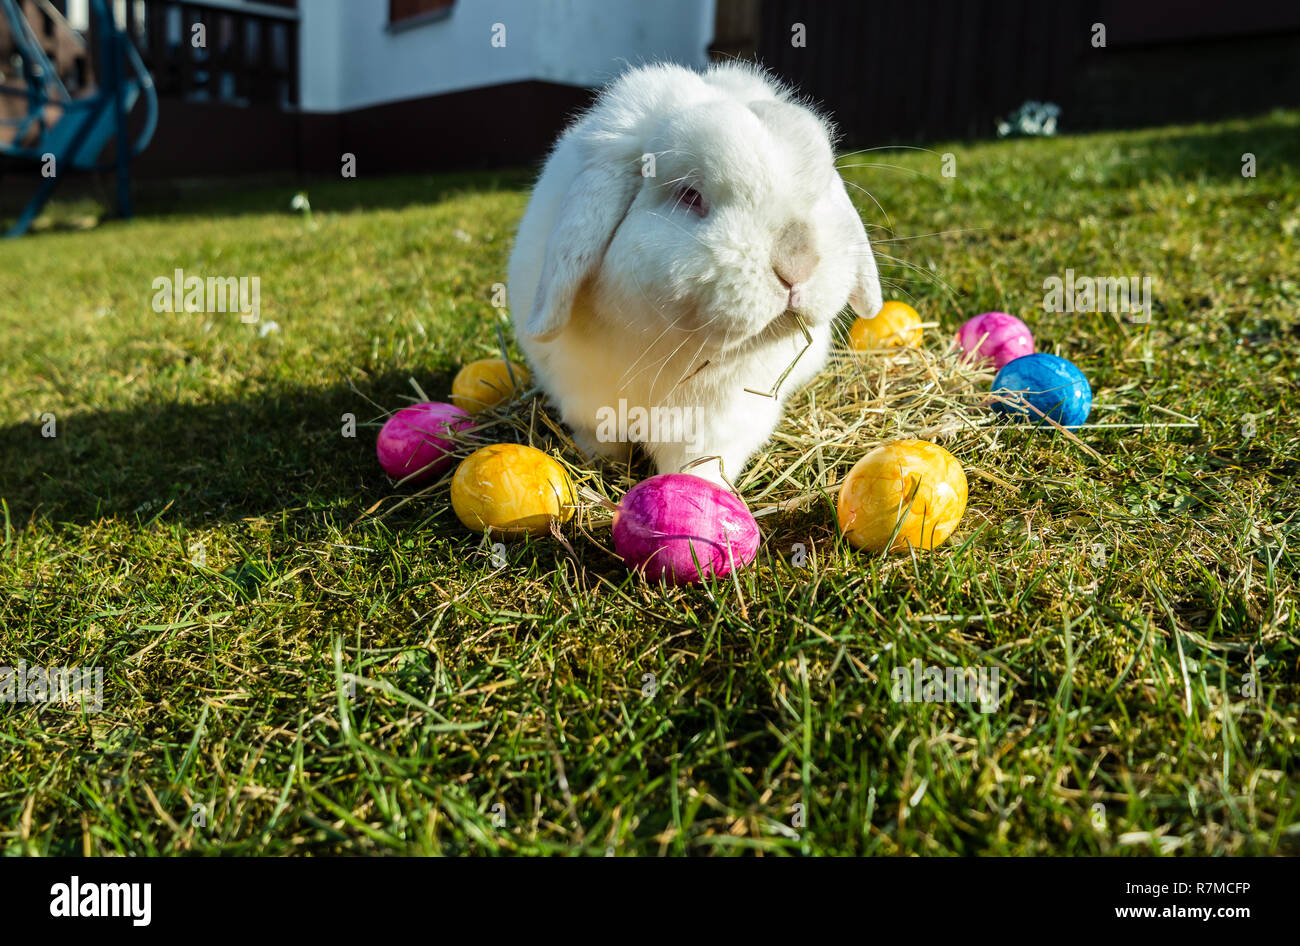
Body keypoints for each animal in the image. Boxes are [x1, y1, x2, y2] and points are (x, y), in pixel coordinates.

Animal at [508, 61, 882, 488]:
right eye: (689, 195)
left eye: (817, 193)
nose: (798, 262)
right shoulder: (584, 401)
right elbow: (599, 439)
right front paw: (598, 463)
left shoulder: (718, 427)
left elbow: (699, 464)